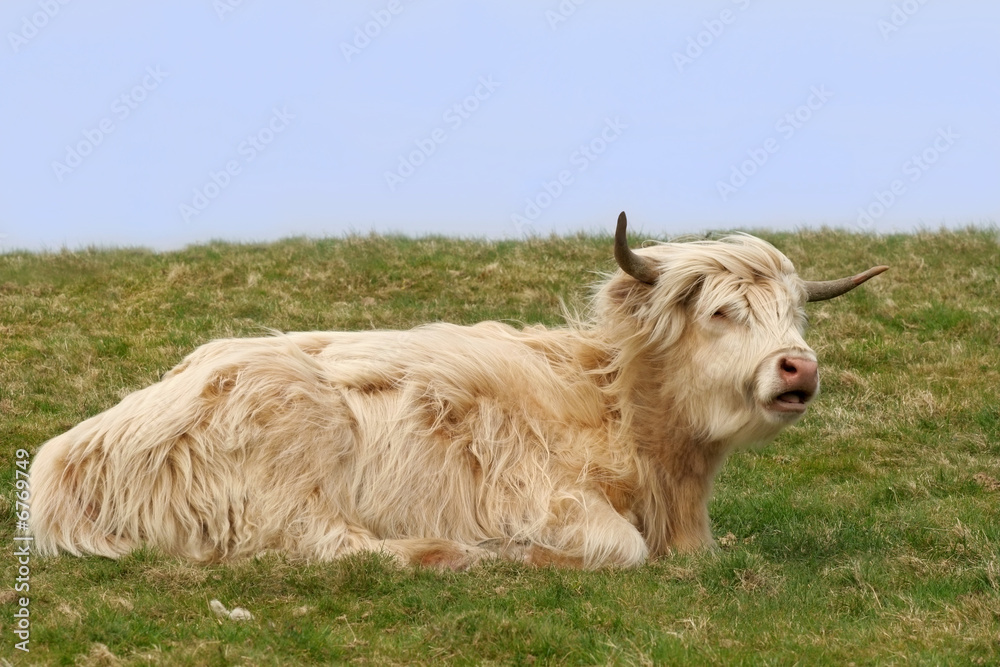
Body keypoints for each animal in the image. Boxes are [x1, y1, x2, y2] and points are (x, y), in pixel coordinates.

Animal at [28, 213, 886, 569]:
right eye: (721, 312)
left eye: (796, 313)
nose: (798, 368)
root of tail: (67, 459)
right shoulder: (545, 493)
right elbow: (622, 546)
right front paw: (525, 552)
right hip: (291, 466)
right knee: (328, 543)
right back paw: (454, 552)